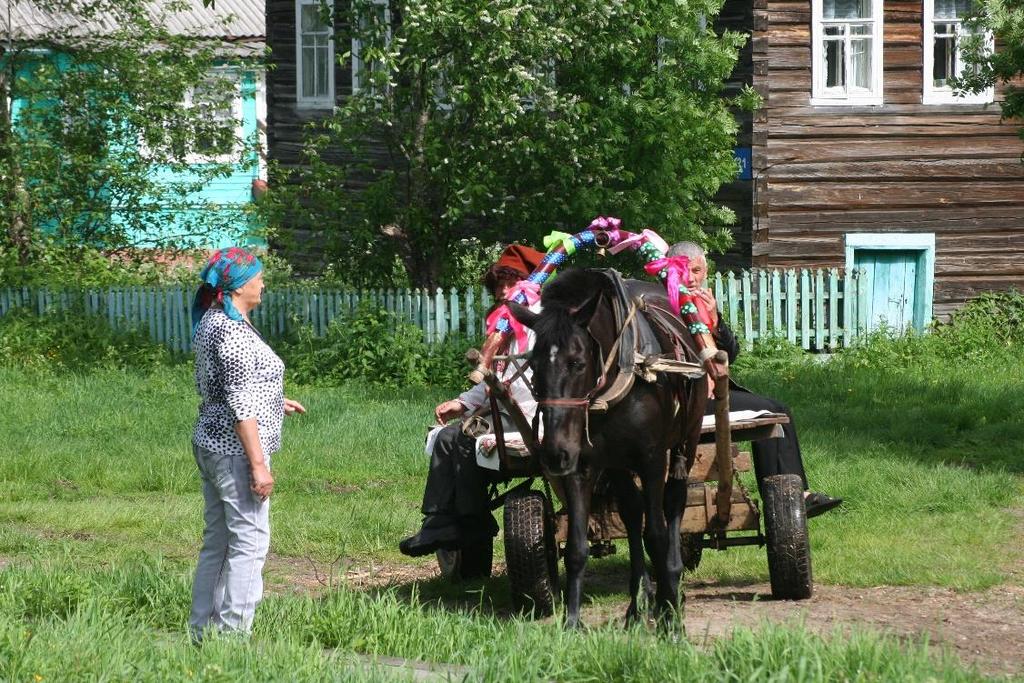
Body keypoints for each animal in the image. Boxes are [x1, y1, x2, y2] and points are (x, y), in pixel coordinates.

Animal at [509, 268, 708, 630]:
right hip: (617, 464)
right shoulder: (582, 462)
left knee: (674, 504)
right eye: (533, 366)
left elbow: (657, 534)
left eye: (576, 362)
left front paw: (670, 617)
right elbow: (576, 546)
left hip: (686, 440)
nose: (554, 453)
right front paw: (572, 622)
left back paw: (672, 587)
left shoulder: (652, 459)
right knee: (631, 512)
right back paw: (637, 604)